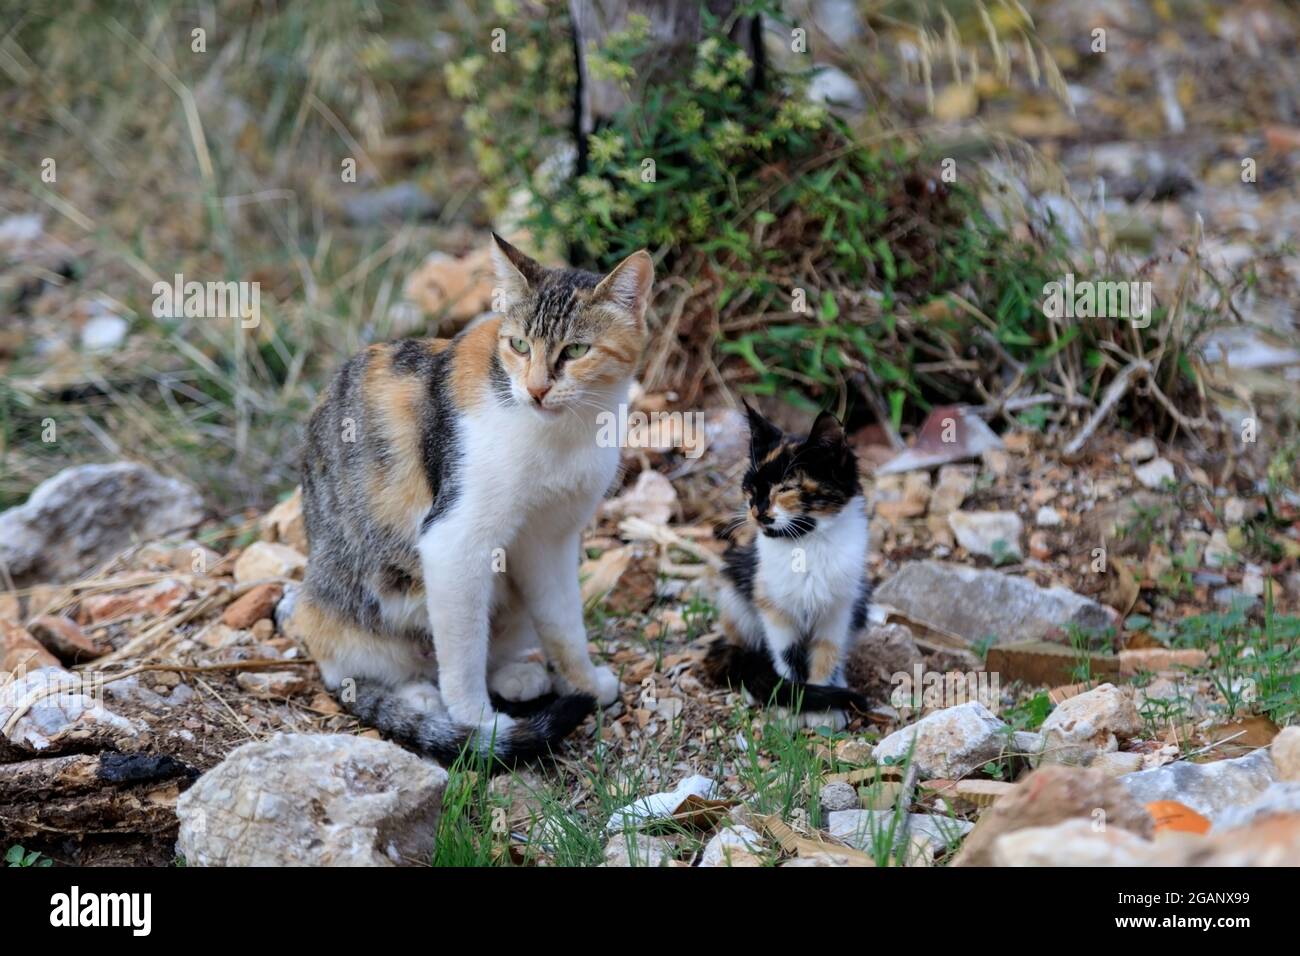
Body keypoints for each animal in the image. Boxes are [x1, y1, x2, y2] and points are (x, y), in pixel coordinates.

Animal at [289, 235, 655, 764]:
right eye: (519, 345)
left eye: (577, 350)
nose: (536, 389)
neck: (564, 434)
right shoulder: (453, 542)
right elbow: (462, 652)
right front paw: (477, 723)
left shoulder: (550, 539)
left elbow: (563, 622)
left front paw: (583, 682)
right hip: (340, 610)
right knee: (366, 671)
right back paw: (422, 698)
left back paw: (516, 676)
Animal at [702, 400, 873, 728]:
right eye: (750, 486)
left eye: (785, 489)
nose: (756, 511)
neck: (806, 545)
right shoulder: (774, 609)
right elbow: (787, 656)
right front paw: (792, 708)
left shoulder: (839, 609)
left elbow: (827, 655)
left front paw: (823, 709)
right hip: (734, 592)